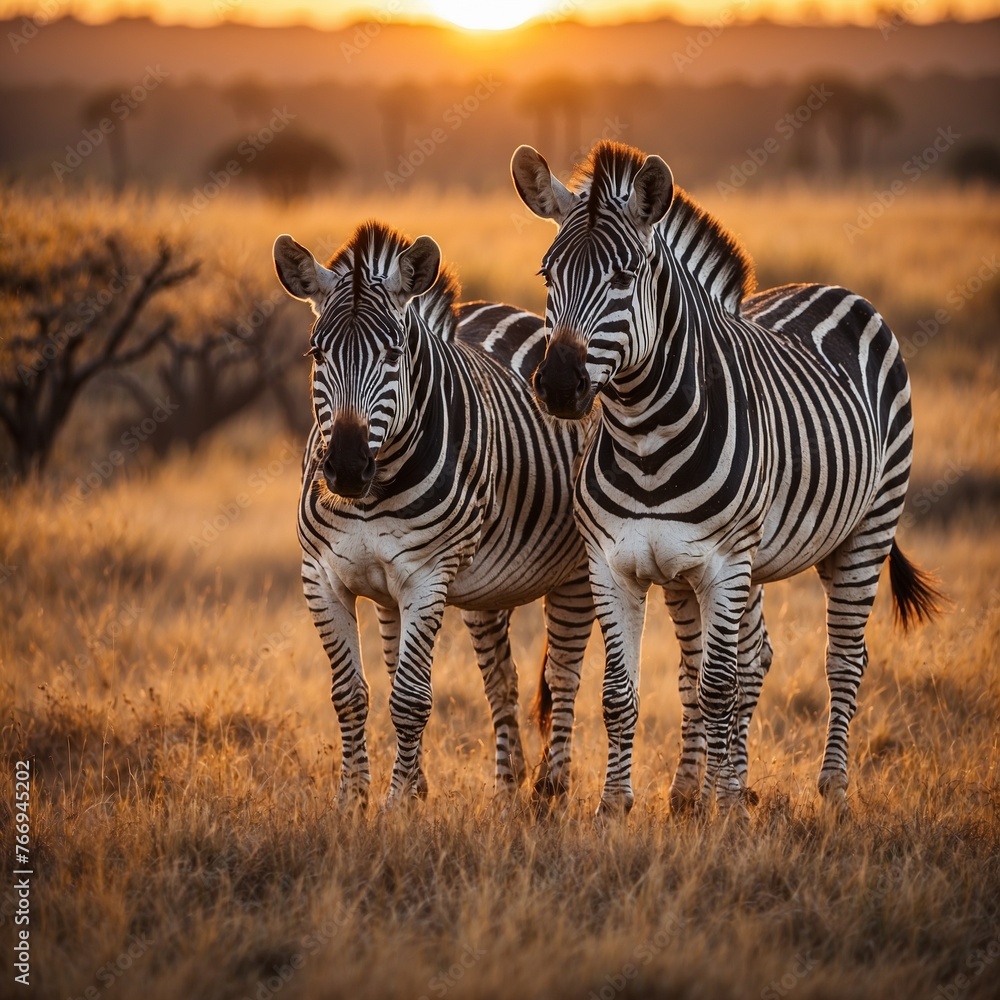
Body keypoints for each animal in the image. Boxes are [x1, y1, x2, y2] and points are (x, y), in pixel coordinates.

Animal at [273, 221, 596, 808]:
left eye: (393, 352)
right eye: (316, 353)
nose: (346, 469)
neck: (373, 494)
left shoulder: (425, 579)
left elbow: (411, 698)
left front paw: (398, 803)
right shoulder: (323, 578)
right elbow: (350, 692)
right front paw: (352, 801)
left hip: (578, 573)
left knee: (564, 677)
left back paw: (551, 789)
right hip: (481, 588)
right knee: (501, 679)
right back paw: (507, 787)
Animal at [511, 140, 941, 817]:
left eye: (624, 277)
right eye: (548, 276)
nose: (557, 385)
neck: (645, 439)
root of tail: (834, 288)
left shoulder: (722, 563)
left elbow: (717, 688)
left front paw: (727, 813)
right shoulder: (616, 564)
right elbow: (625, 694)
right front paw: (616, 808)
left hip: (865, 531)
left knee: (842, 659)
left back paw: (830, 790)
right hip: (728, 570)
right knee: (749, 658)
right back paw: (707, 787)